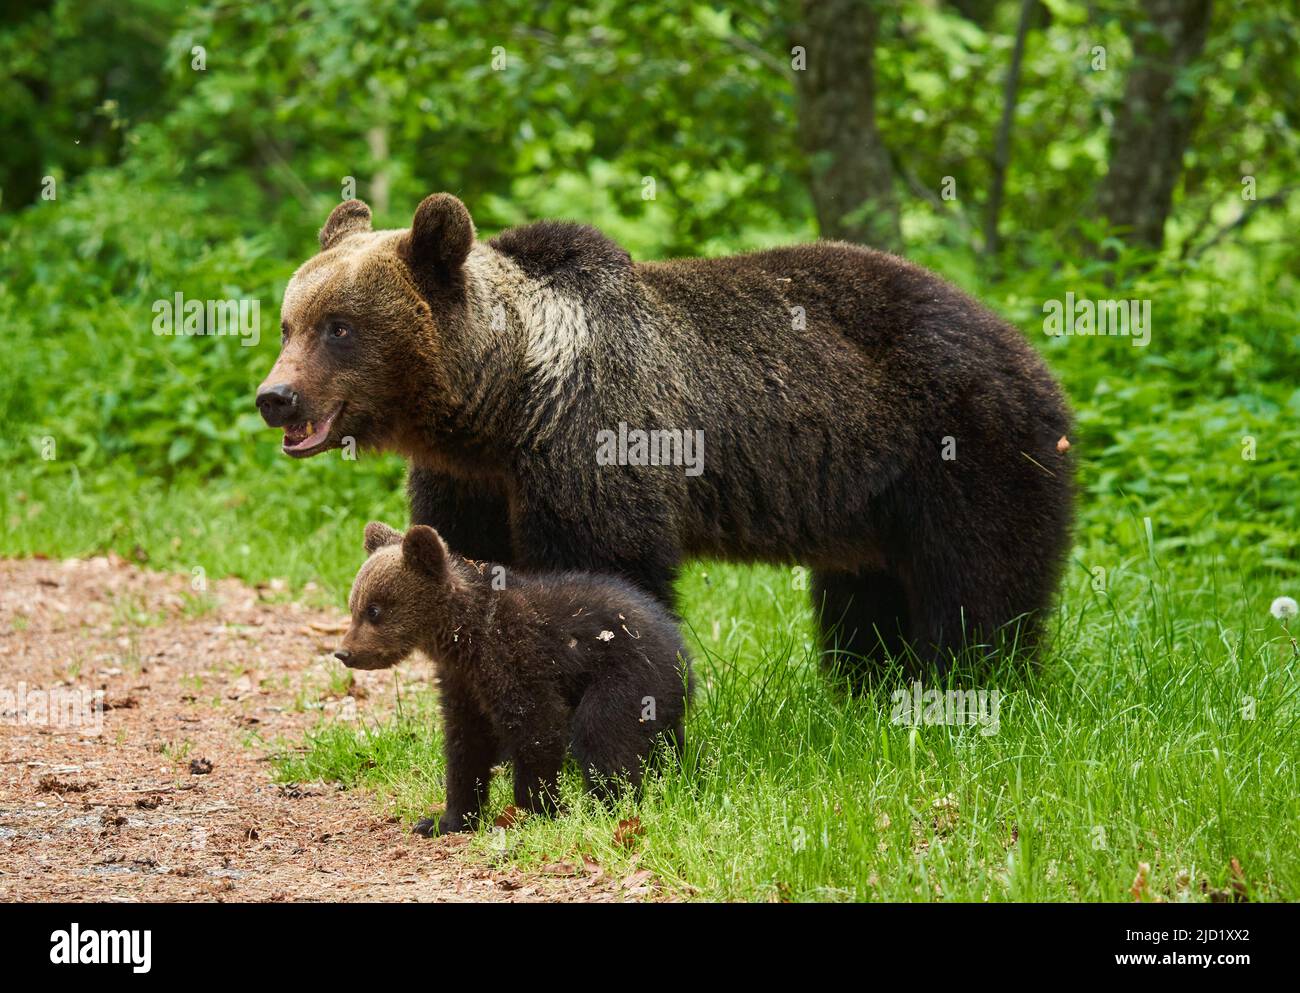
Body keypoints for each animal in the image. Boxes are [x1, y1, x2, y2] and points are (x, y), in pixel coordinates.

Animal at [258, 192, 1074, 682]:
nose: (275, 397)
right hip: (868, 501)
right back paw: (867, 685)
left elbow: (609, 572)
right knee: (865, 595)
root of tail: (1028, 349)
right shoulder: (470, 481)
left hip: (962, 444)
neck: (502, 402)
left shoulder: (595, 439)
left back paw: (966, 685)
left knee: (976, 582)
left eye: (340, 327)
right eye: (289, 323)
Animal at [336, 521, 692, 835]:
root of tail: (682, 653)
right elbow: (465, 744)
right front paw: (446, 820)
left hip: (626, 676)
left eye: (374, 610)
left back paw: (607, 806)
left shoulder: (515, 657)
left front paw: (535, 811)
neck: (462, 634)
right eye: (354, 605)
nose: (344, 653)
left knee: (602, 733)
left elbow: (538, 726)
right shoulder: (463, 682)